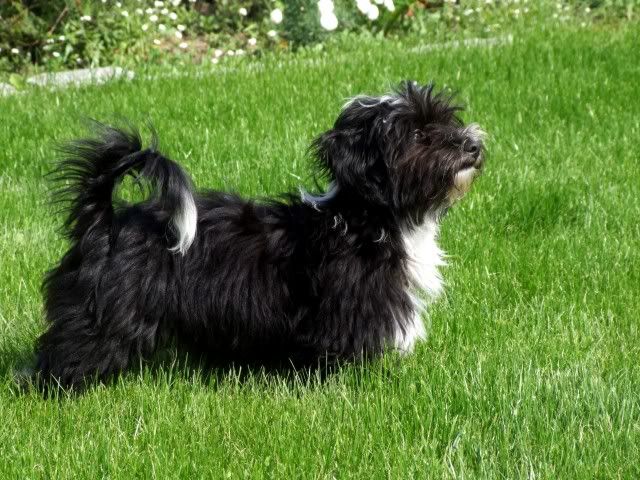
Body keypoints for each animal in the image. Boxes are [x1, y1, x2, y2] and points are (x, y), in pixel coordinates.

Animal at [33, 81, 485, 389]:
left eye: (447, 120)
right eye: (417, 135)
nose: (472, 145)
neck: (368, 218)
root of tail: (104, 220)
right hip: (105, 312)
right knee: (71, 350)